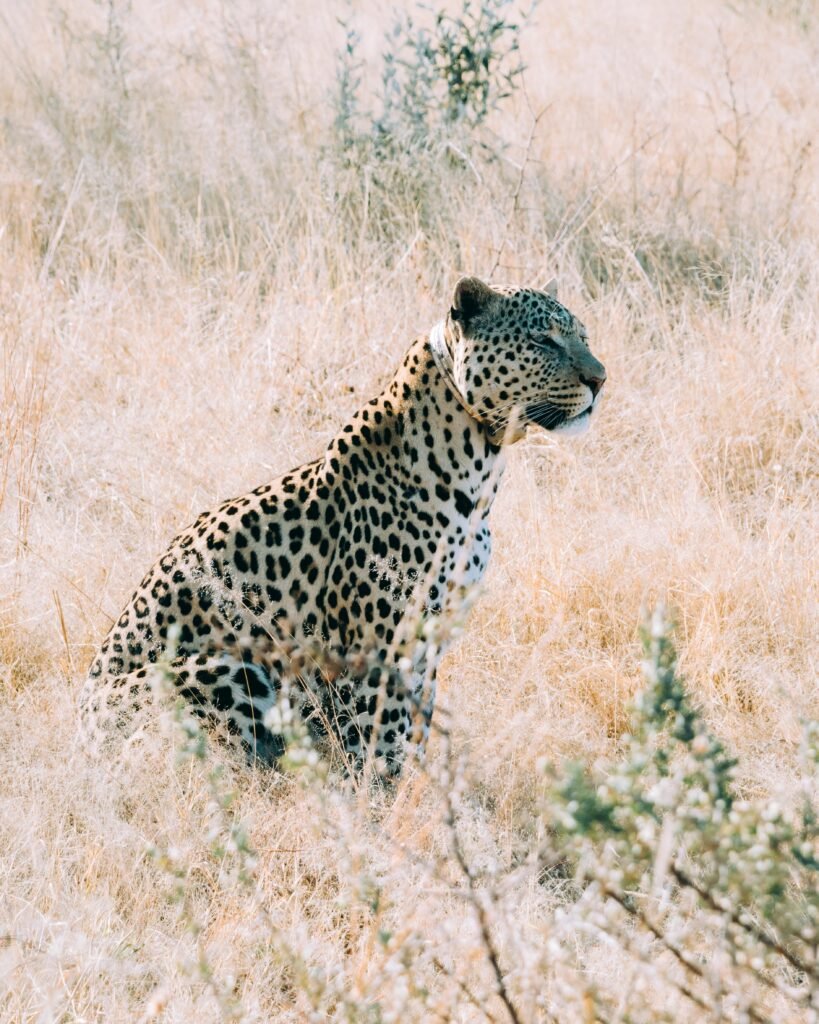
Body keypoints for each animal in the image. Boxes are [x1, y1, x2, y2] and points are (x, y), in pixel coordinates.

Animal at [79, 275, 606, 774]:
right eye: (543, 340)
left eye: (582, 335)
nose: (600, 379)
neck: (480, 467)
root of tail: (78, 744)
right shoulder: (376, 651)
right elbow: (381, 741)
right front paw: (380, 798)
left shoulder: (428, 645)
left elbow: (417, 730)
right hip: (222, 665)